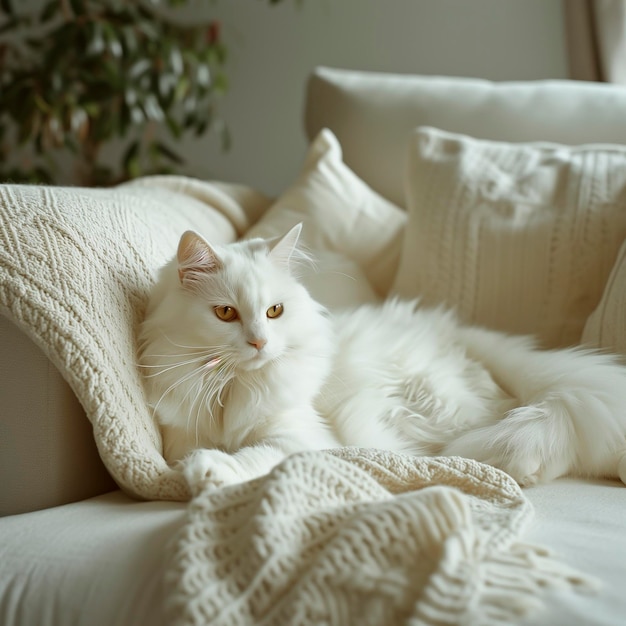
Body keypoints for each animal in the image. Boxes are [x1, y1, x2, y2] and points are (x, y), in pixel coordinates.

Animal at [139, 224, 624, 492]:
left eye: (275, 311)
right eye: (225, 313)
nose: (259, 343)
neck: (231, 386)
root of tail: (456, 331)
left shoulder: (298, 439)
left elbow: (252, 457)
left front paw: (211, 471)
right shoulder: (179, 436)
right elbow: (194, 451)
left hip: (440, 409)